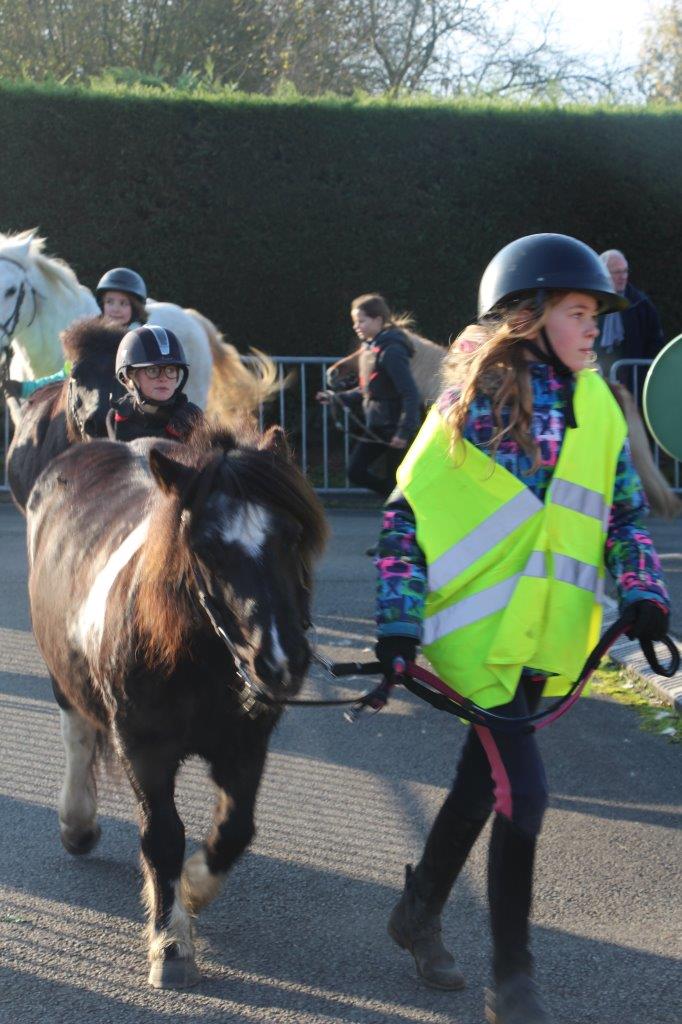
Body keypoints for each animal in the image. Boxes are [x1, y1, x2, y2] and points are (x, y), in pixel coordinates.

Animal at [29, 421, 329, 983]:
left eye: (291, 535)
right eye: (206, 547)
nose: (280, 661)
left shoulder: (245, 745)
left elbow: (235, 829)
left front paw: (191, 888)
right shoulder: (143, 749)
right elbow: (162, 836)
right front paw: (170, 943)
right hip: (63, 673)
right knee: (76, 734)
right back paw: (77, 824)